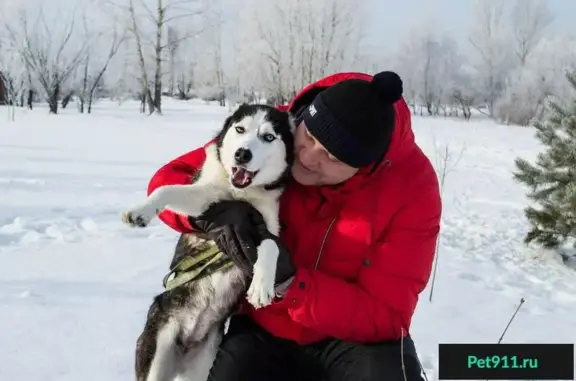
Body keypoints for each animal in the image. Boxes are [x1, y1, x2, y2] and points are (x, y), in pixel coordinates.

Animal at [120, 102, 294, 378]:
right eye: (240, 129)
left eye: (268, 137)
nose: (242, 154)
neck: (240, 195)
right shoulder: (206, 203)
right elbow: (166, 190)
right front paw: (141, 210)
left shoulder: (266, 228)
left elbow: (270, 247)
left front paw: (261, 286)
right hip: (157, 350)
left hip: (205, 363)